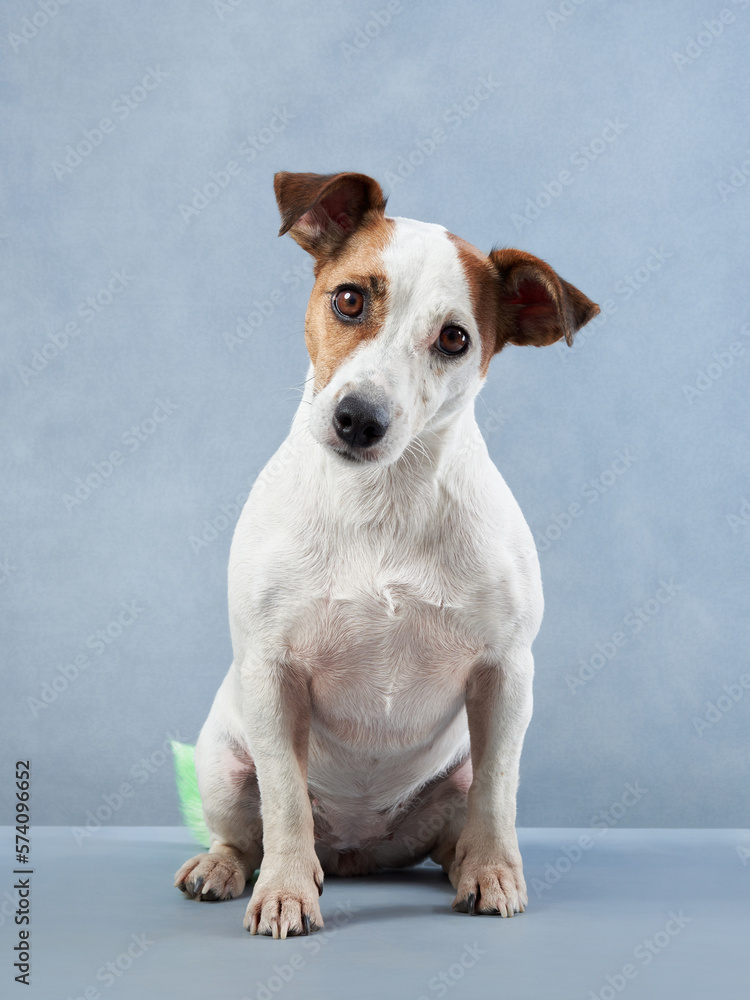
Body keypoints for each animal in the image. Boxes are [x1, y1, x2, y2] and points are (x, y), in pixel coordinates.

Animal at [175, 170, 600, 936]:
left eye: (455, 339)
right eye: (349, 299)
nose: (359, 419)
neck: (382, 501)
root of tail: (355, 850)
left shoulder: (505, 675)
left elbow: (498, 791)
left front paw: (495, 873)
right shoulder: (272, 674)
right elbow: (284, 802)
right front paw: (285, 890)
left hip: (446, 787)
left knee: (459, 825)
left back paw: (466, 864)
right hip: (221, 762)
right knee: (245, 832)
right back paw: (224, 867)